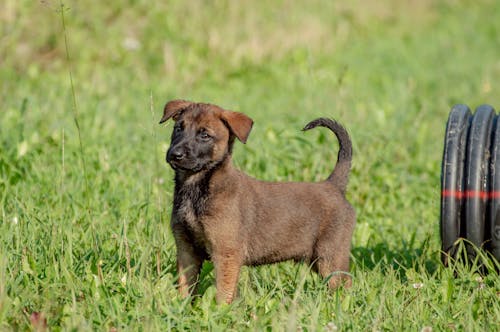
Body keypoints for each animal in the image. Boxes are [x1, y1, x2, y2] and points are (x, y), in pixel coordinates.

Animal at [160, 100, 356, 304]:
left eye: (204, 135)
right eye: (178, 128)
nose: (175, 154)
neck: (197, 188)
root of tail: (333, 185)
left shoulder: (225, 254)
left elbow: (223, 292)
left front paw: (221, 310)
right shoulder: (186, 250)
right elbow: (185, 287)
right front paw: (181, 307)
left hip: (330, 257)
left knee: (345, 285)